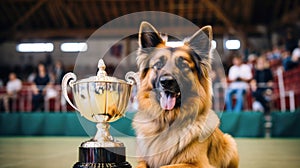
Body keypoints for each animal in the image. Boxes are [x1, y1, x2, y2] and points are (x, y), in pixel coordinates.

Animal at [133, 21, 239, 168]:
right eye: (158, 64)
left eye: (183, 65)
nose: (166, 82)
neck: (168, 121)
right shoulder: (143, 160)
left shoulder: (197, 164)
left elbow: (164, 167)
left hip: (230, 142)